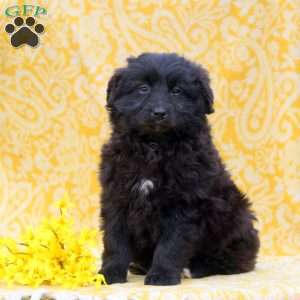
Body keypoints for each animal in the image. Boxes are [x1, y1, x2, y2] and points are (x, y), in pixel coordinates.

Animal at [99, 52, 258, 286]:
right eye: (143, 88)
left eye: (177, 91)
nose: (159, 113)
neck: (155, 146)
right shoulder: (117, 197)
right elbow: (114, 239)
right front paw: (109, 274)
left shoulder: (184, 204)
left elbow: (171, 244)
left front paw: (162, 276)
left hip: (237, 218)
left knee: (233, 260)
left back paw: (196, 269)